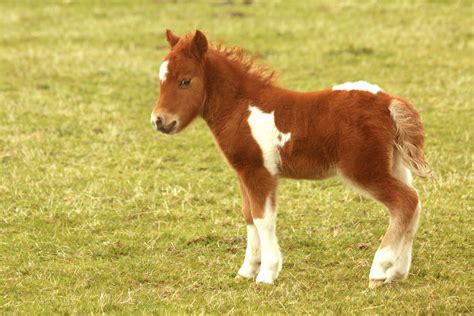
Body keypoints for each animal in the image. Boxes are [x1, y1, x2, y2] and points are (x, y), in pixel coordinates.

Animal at [151, 29, 430, 286]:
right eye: (161, 80)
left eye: (186, 81)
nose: (159, 121)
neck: (242, 110)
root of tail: (388, 102)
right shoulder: (245, 174)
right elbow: (249, 216)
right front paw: (247, 270)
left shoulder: (259, 172)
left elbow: (263, 219)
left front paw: (266, 274)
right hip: (394, 166)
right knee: (414, 203)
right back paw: (397, 272)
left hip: (365, 170)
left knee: (404, 201)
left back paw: (379, 269)